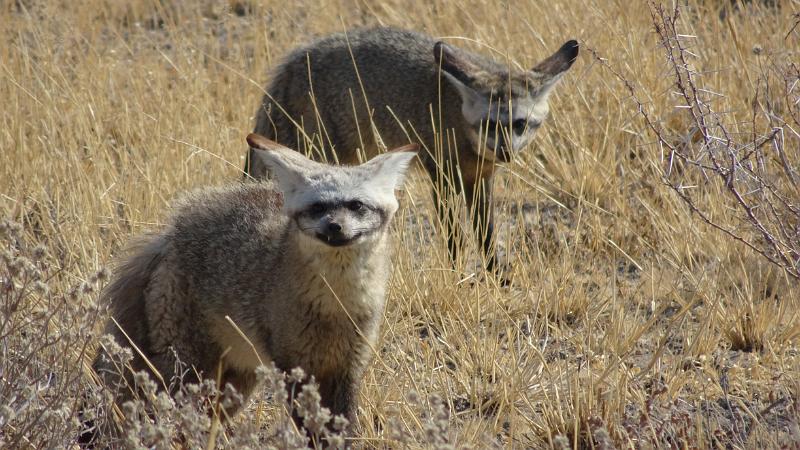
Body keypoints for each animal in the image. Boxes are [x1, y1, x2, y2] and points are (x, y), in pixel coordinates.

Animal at [81, 132, 416, 444]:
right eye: (318, 207)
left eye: (356, 205)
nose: (334, 226)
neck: (334, 307)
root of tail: (168, 236)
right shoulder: (293, 367)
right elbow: (311, 427)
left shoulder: (348, 367)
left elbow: (343, 427)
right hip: (187, 371)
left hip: (234, 385)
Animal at [247, 26, 580, 280]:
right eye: (488, 124)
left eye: (520, 124)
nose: (505, 152)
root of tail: (294, 61)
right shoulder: (442, 175)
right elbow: (454, 235)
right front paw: (456, 274)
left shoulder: (481, 178)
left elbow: (485, 233)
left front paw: (495, 273)